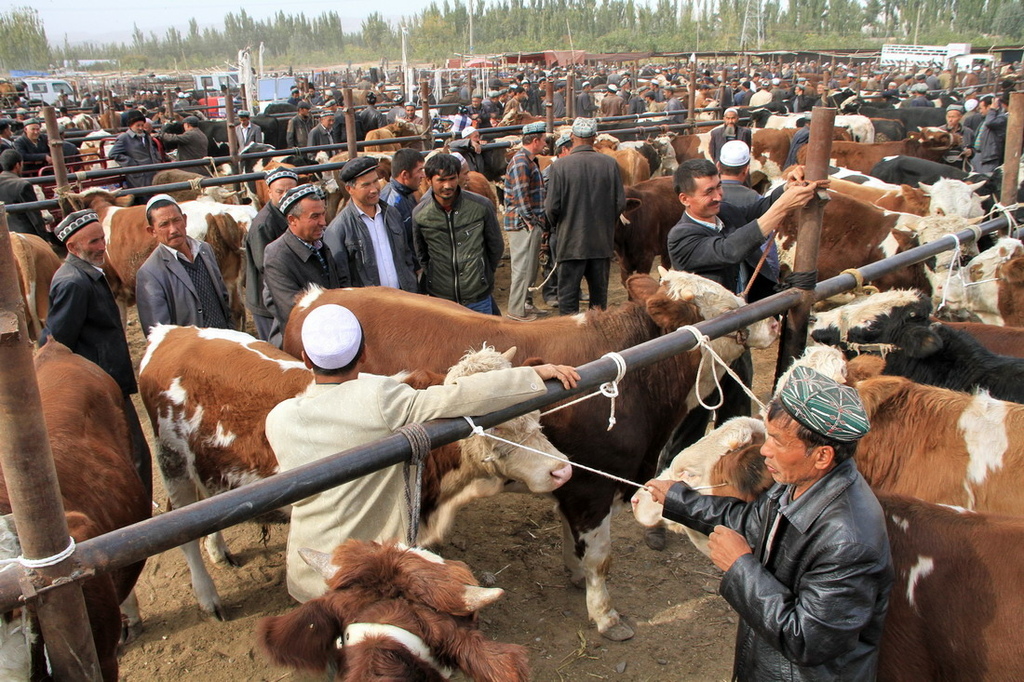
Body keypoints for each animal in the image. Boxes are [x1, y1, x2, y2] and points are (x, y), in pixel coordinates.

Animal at [280, 270, 774, 638]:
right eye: (731, 306)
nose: (772, 322)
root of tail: (314, 297)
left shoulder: (573, 481)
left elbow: (574, 541)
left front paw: (575, 576)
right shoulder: (594, 486)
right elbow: (601, 557)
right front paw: (606, 615)